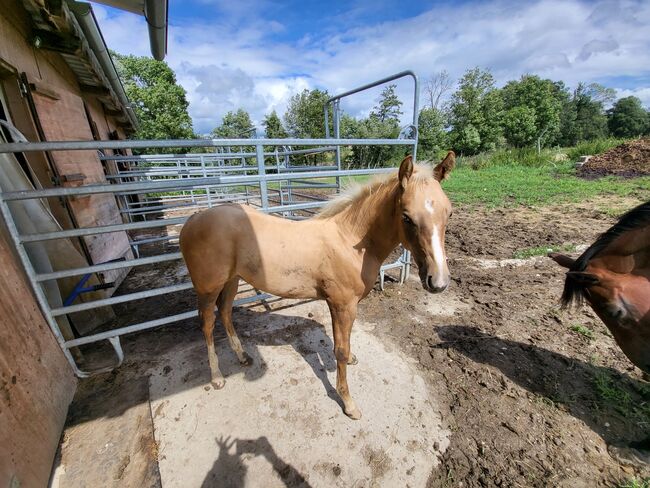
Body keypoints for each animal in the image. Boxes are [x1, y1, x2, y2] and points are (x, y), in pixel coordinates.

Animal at [176, 153, 450, 420]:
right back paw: (217, 377)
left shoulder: (339, 304)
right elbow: (340, 350)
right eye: (406, 217)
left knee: (225, 313)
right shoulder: (343, 305)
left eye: (448, 213)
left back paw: (242, 356)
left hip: (232, 280)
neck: (349, 240)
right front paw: (348, 404)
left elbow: (343, 342)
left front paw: (351, 361)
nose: (438, 282)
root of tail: (192, 220)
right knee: (207, 324)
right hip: (208, 288)